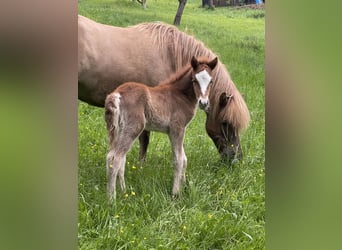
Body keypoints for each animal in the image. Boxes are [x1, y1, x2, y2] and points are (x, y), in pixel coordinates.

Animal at [105, 55, 216, 198]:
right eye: (194, 80)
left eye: (211, 81)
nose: (203, 103)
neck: (180, 95)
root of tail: (117, 94)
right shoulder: (177, 129)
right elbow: (178, 160)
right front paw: (175, 193)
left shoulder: (178, 130)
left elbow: (184, 159)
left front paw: (185, 187)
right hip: (134, 127)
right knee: (114, 158)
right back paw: (111, 198)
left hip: (120, 129)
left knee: (120, 159)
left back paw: (124, 191)